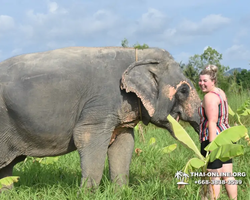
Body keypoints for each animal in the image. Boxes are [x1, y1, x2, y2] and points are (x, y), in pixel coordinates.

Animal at [0, 46, 200, 189]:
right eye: (184, 90)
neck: (138, 54)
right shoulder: (102, 102)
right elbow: (86, 136)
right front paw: (86, 193)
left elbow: (124, 144)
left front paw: (120, 193)